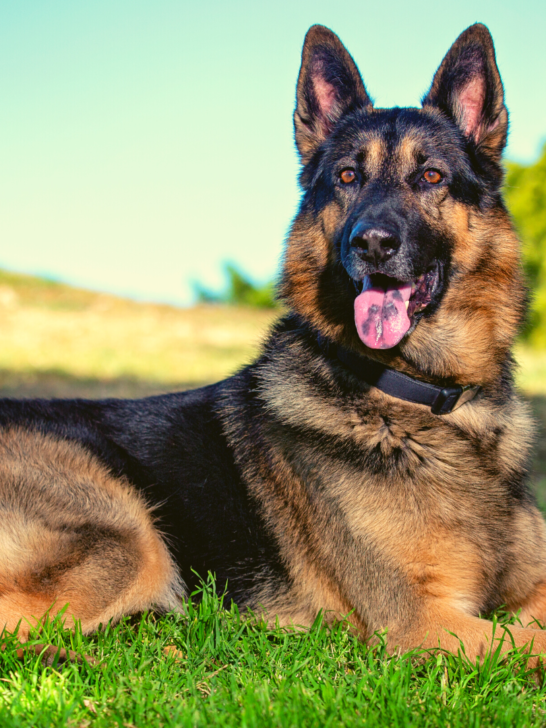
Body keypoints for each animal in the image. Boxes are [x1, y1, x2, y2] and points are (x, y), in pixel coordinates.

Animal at [1, 22, 544, 664]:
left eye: (431, 177)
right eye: (348, 177)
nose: (371, 243)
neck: (431, 405)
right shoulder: (421, 621)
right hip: (124, 536)